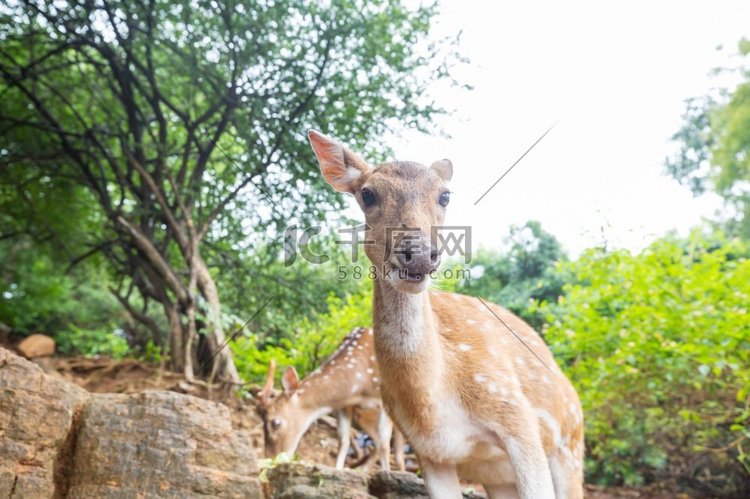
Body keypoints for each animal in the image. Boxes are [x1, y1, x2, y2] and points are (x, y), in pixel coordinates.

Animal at [256, 328, 406, 472]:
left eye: (275, 423)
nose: (271, 458)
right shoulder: (345, 406)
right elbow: (343, 441)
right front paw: (338, 469)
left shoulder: (383, 402)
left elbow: (384, 445)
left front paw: (386, 473)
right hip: (363, 416)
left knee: (397, 449)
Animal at [308, 131, 584, 498]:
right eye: (367, 194)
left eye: (445, 196)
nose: (419, 254)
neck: (433, 407)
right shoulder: (428, 452)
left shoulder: (517, 419)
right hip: (499, 477)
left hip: (571, 446)